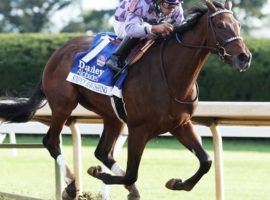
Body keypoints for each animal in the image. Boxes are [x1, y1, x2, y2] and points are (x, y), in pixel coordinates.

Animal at [0, 0, 251, 199]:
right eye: (220, 25)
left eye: (238, 25)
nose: (244, 57)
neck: (170, 76)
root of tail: (58, 52)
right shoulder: (139, 128)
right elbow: (132, 174)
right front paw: (98, 173)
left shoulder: (180, 124)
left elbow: (206, 161)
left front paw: (178, 183)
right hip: (63, 104)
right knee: (51, 142)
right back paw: (71, 185)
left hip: (112, 116)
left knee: (102, 151)